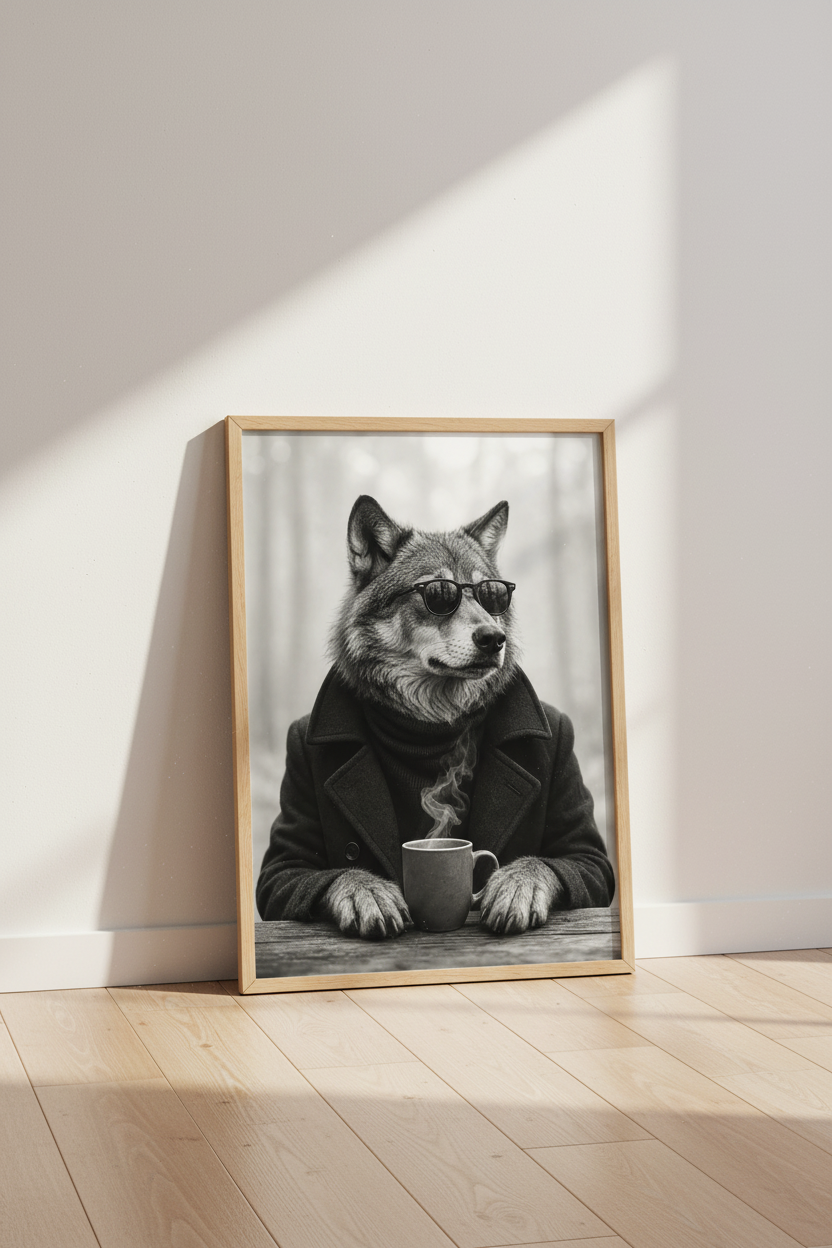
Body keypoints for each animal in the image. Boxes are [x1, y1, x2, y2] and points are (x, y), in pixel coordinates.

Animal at [256, 495, 614, 938]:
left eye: (492, 595)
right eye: (440, 594)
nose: (495, 639)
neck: (432, 722)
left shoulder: (586, 855)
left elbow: (547, 861)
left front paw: (517, 884)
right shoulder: (283, 866)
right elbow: (330, 872)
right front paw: (366, 891)